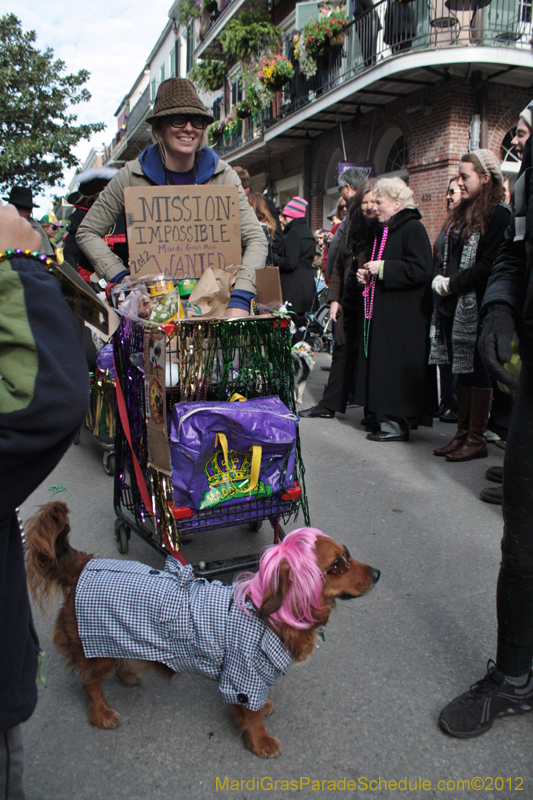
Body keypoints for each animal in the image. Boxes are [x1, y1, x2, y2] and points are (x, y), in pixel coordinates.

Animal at [26, 504, 378, 760]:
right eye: (338, 565)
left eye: (347, 555)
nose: (377, 573)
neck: (269, 614)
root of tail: (83, 565)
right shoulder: (244, 675)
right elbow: (252, 715)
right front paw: (260, 739)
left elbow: (251, 707)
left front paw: (259, 711)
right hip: (94, 643)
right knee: (90, 682)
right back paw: (100, 713)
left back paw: (126, 673)